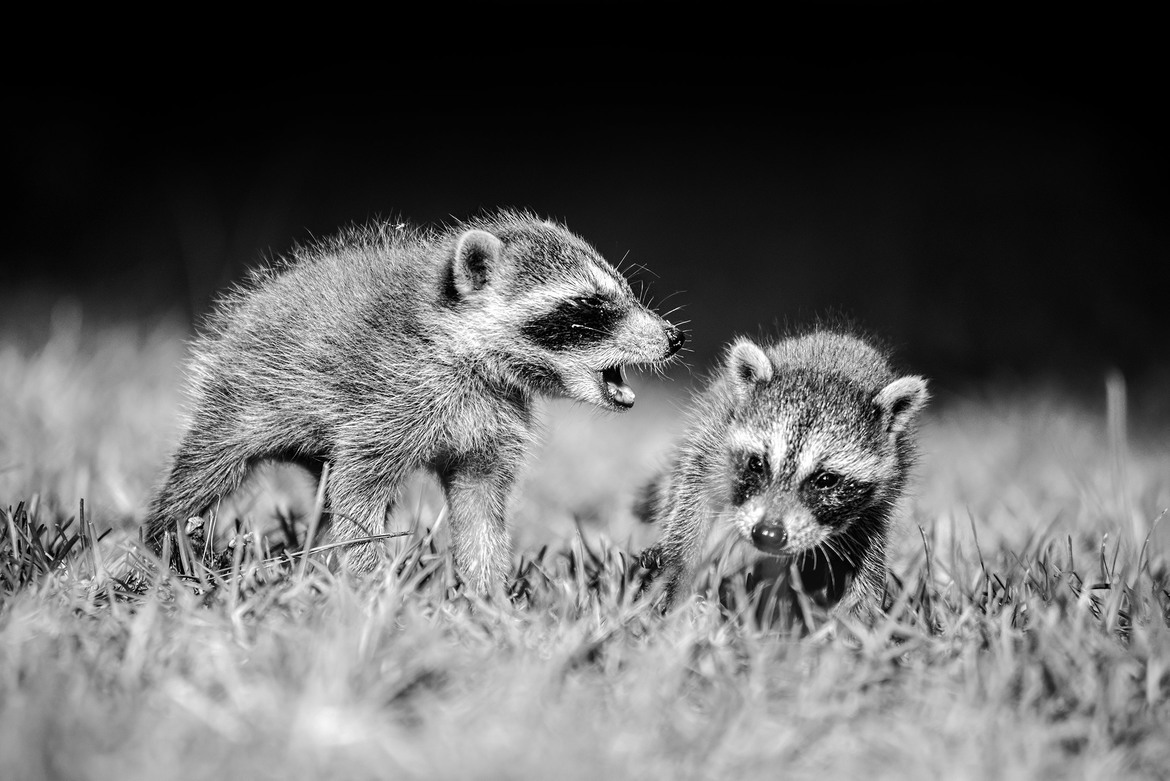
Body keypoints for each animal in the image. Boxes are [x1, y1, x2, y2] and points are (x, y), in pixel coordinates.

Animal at [144, 209, 685, 594]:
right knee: (207, 468)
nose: (675, 337)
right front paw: (365, 582)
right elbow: (359, 497)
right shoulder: (389, 396)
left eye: (624, 293)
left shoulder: (496, 419)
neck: (478, 361)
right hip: (243, 392)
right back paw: (166, 540)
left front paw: (486, 596)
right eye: (591, 306)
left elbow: (480, 506)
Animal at [638, 328, 927, 619]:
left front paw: (855, 618)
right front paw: (677, 569)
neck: (827, 373)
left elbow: (867, 560)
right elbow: (693, 493)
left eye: (826, 480)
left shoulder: (879, 499)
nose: (768, 534)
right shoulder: (716, 436)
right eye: (757, 464)